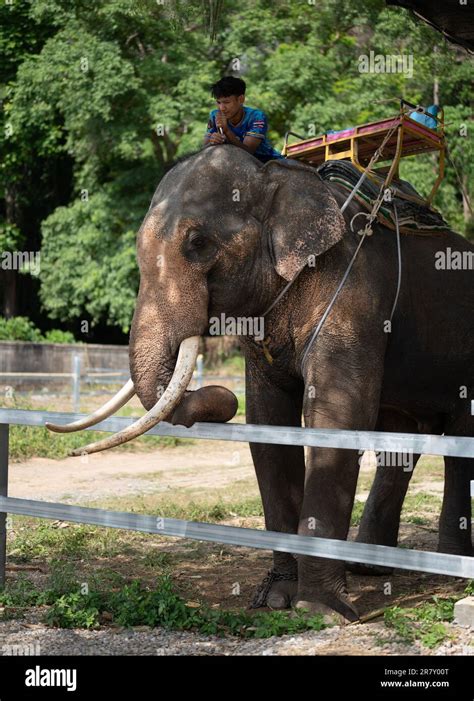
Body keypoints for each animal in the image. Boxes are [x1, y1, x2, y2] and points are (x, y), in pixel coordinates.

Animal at [46, 145, 472, 620]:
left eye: (198, 243)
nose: (220, 395)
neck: (278, 176)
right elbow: (269, 424)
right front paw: (277, 598)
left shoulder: (356, 294)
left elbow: (337, 416)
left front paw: (319, 609)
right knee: (401, 440)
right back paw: (371, 569)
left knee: (458, 442)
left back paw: (452, 569)